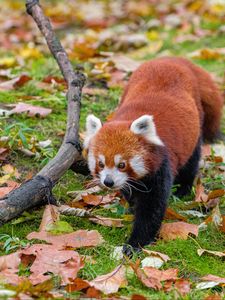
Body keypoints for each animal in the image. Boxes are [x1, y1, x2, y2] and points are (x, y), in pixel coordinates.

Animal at [83, 56, 223, 255]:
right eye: (101, 164)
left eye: (122, 164)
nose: (108, 182)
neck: (127, 118)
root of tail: (172, 59)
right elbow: (131, 190)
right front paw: (131, 204)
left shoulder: (161, 164)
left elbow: (152, 208)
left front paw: (135, 243)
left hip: (195, 127)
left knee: (191, 161)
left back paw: (183, 189)